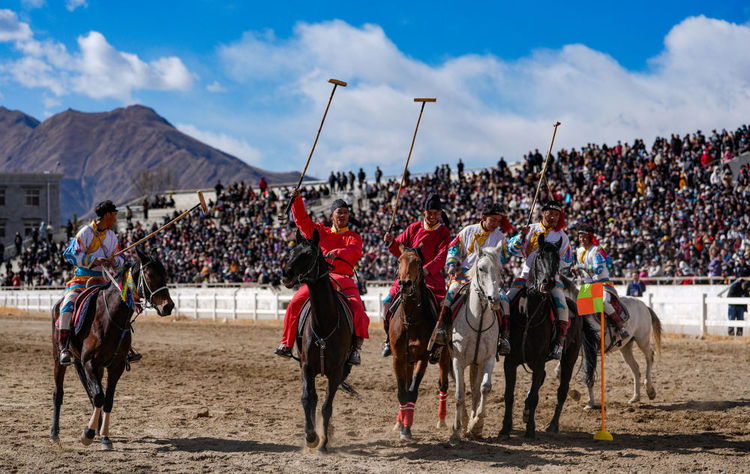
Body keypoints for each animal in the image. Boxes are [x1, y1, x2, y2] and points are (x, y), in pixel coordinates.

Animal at [280, 229, 354, 452]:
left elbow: (327, 406)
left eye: (309, 254)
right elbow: (307, 399)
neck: (324, 323)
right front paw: (310, 435)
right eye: (292, 250)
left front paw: (323, 441)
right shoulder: (306, 366)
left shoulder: (336, 371)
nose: (286, 274)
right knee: (312, 398)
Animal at [450, 246, 502, 438]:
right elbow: (459, 393)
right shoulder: (457, 360)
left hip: (476, 363)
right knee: (464, 387)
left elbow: (484, 388)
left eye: (500, 270)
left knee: (475, 389)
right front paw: (457, 429)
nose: (494, 299)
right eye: (481, 268)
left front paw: (476, 424)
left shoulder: (487, 359)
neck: (478, 321)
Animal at [502, 237, 584, 440]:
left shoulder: (539, 361)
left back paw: (552, 425)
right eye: (538, 256)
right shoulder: (510, 361)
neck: (529, 314)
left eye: (557, 258)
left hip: (569, 357)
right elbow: (509, 395)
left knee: (562, 390)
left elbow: (534, 397)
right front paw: (505, 428)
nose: (548, 282)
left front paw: (530, 429)